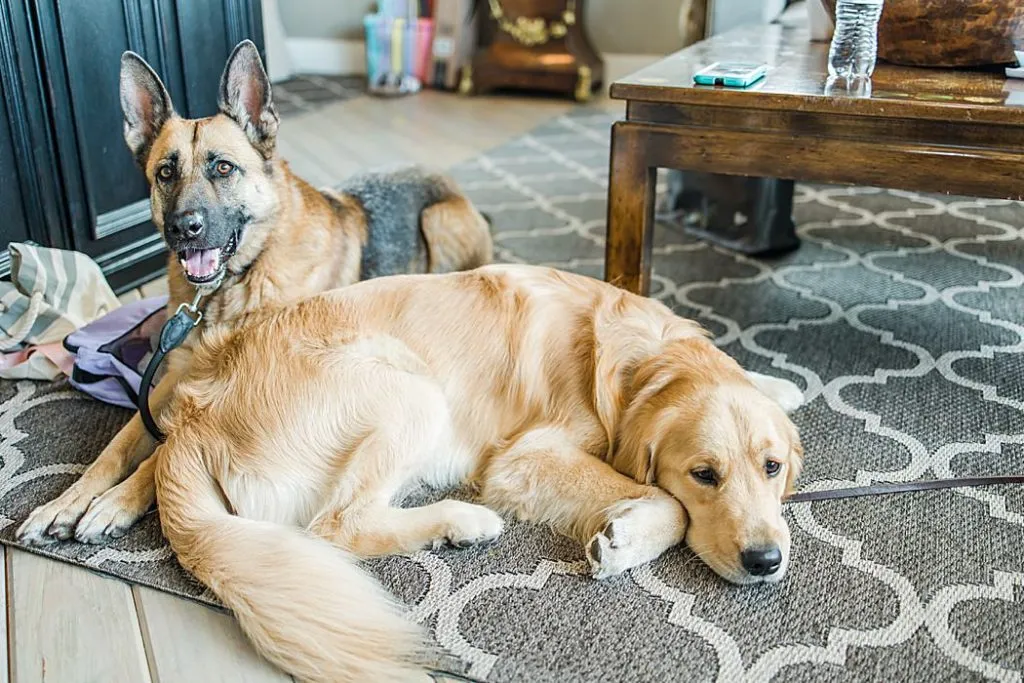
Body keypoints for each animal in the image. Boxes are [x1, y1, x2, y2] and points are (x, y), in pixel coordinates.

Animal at [17, 40, 491, 548]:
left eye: (223, 168)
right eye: (165, 173)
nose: (183, 228)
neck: (236, 283)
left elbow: (161, 453)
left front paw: (114, 502)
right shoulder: (173, 378)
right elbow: (116, 447)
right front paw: (64, 503)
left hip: (438, 221)